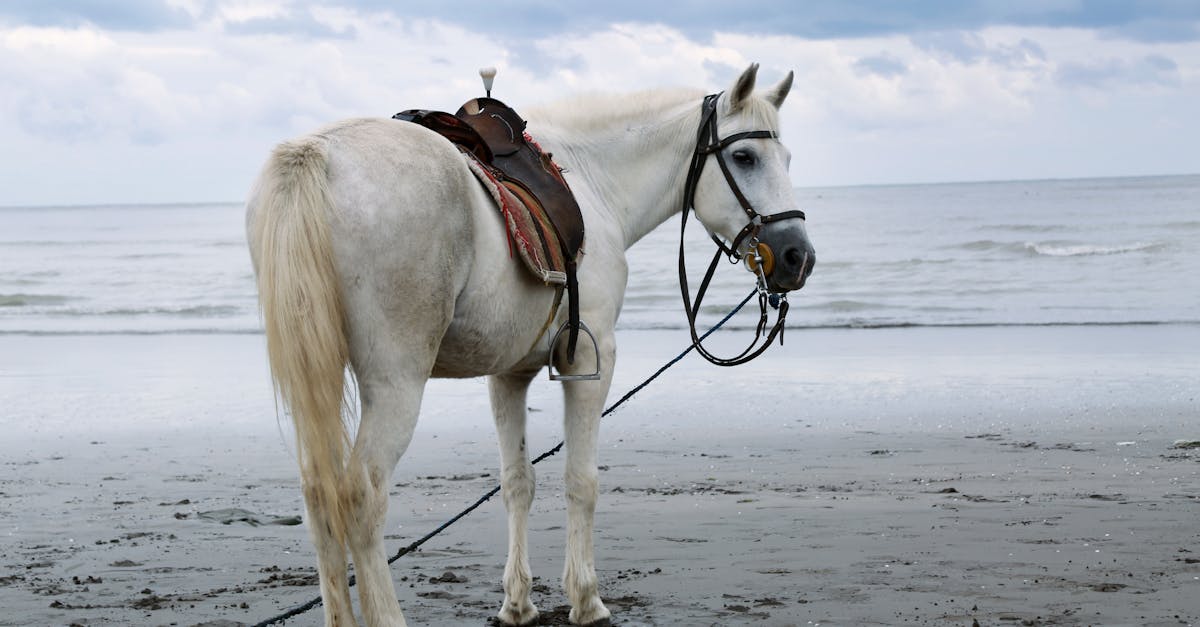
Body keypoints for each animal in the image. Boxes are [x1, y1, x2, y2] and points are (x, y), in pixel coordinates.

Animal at [245, 62, 815, 626]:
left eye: (787, 158)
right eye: (744, 157)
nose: (797, 257)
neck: (591, 178)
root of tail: (318, 152)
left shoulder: (508, 373)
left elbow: (518, 482)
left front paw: (517, 603)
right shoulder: (590, 360)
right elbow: (580, 481)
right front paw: (586, 600)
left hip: (316, 378)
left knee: (320, 496)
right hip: (396, 381)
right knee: (361, 496)